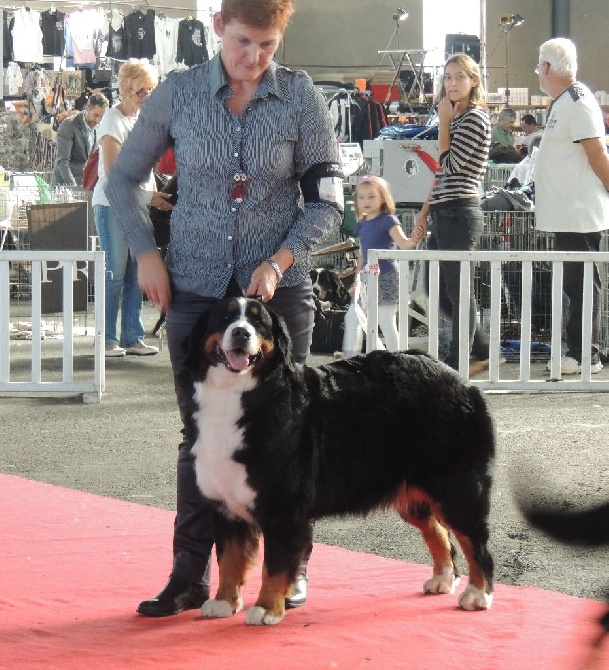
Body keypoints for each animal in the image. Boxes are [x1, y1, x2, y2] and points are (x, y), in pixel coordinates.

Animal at [180, 298, 494, 624]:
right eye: (224, 317)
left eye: (258, 322)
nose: (241, 333)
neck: (237, 395)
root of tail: (457, 378)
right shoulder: (225, 504)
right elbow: (228, 558)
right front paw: (223, 602)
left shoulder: (282, 508)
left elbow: (274, 565)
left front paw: (267, 608)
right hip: (412, 492)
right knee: (439, 533)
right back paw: (443, 579)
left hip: (456, 487)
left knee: (476, 541)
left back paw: (477, 594)